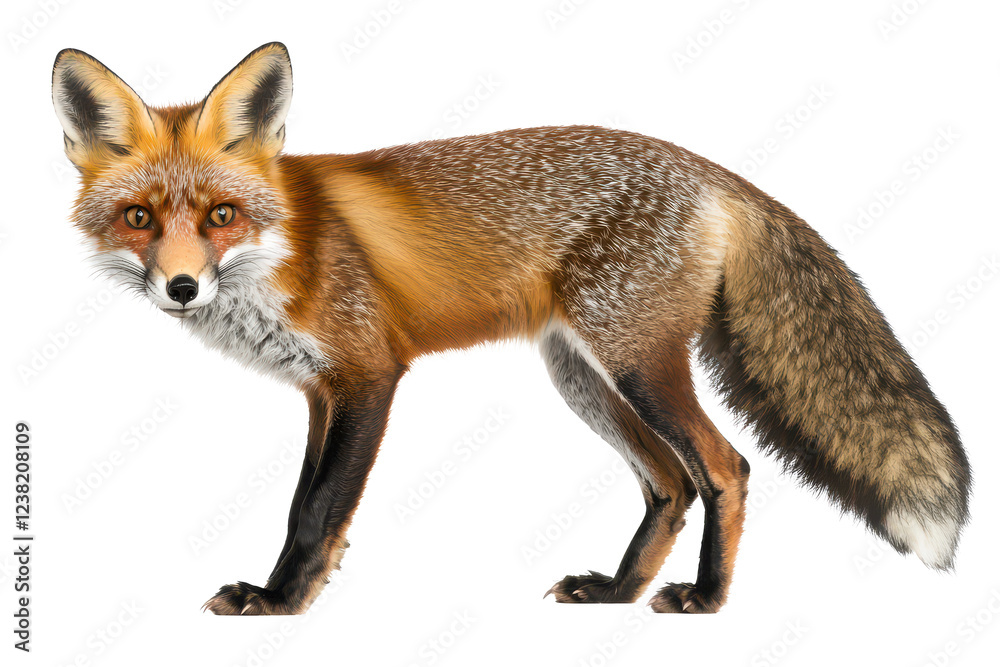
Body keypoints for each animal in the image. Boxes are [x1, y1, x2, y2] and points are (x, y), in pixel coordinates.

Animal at [51, 42, 971, 615]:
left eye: (221, 215)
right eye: (138, 217)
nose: (180, 286)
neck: (284, 247)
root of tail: (710, 170)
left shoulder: (368, 374)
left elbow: (314, 511)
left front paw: (280, 603)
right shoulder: (320, 391)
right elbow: (306, 505)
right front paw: (292, 591)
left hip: (637, 364)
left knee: (724, 467)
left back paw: (706, 599)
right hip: (582, 376)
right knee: (669, 483)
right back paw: (617, 592)